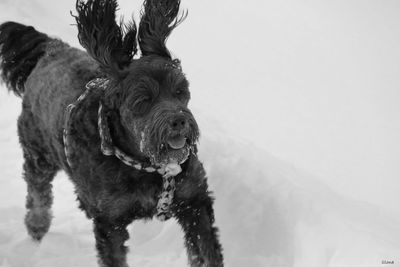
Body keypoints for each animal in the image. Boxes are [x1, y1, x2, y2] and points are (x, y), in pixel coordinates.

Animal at [0, 1, 222, 266]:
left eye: (180, 91)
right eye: (144, 100)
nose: (179, 121)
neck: (146, 165)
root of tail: (51, 48)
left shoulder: (194, 202)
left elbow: (208, 252)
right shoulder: (110, 220)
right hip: (37, 151)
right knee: (37, 191)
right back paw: (37, 224)